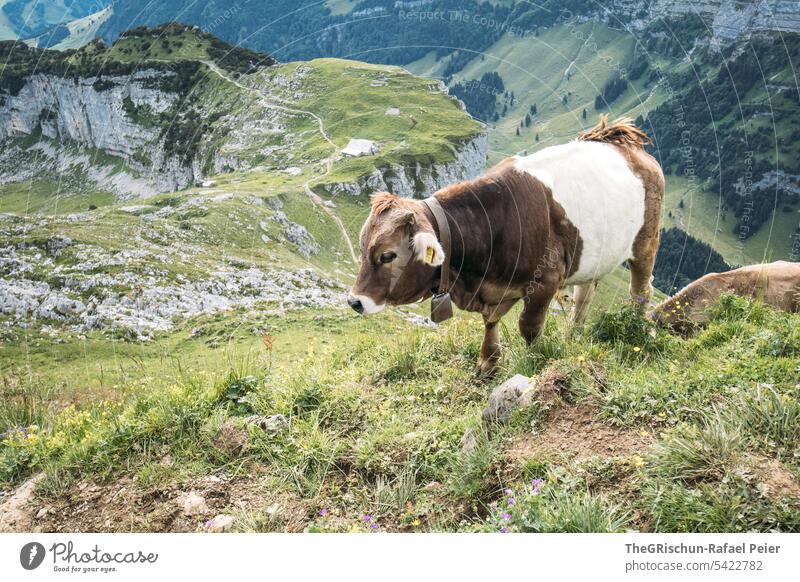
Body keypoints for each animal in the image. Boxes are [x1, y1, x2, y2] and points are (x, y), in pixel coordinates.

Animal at [346, 117, 664, 374]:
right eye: (362, 248)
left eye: (388, 255)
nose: (354, 301)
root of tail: (623, 142)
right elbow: (491, 321)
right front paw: (488, 362)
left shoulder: (545, 282)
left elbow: (529, 327)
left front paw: (535, 362)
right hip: (593, 255)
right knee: (584, 295)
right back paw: (571, 336)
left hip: (646, 242)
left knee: (640, 290)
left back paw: (636, 327)